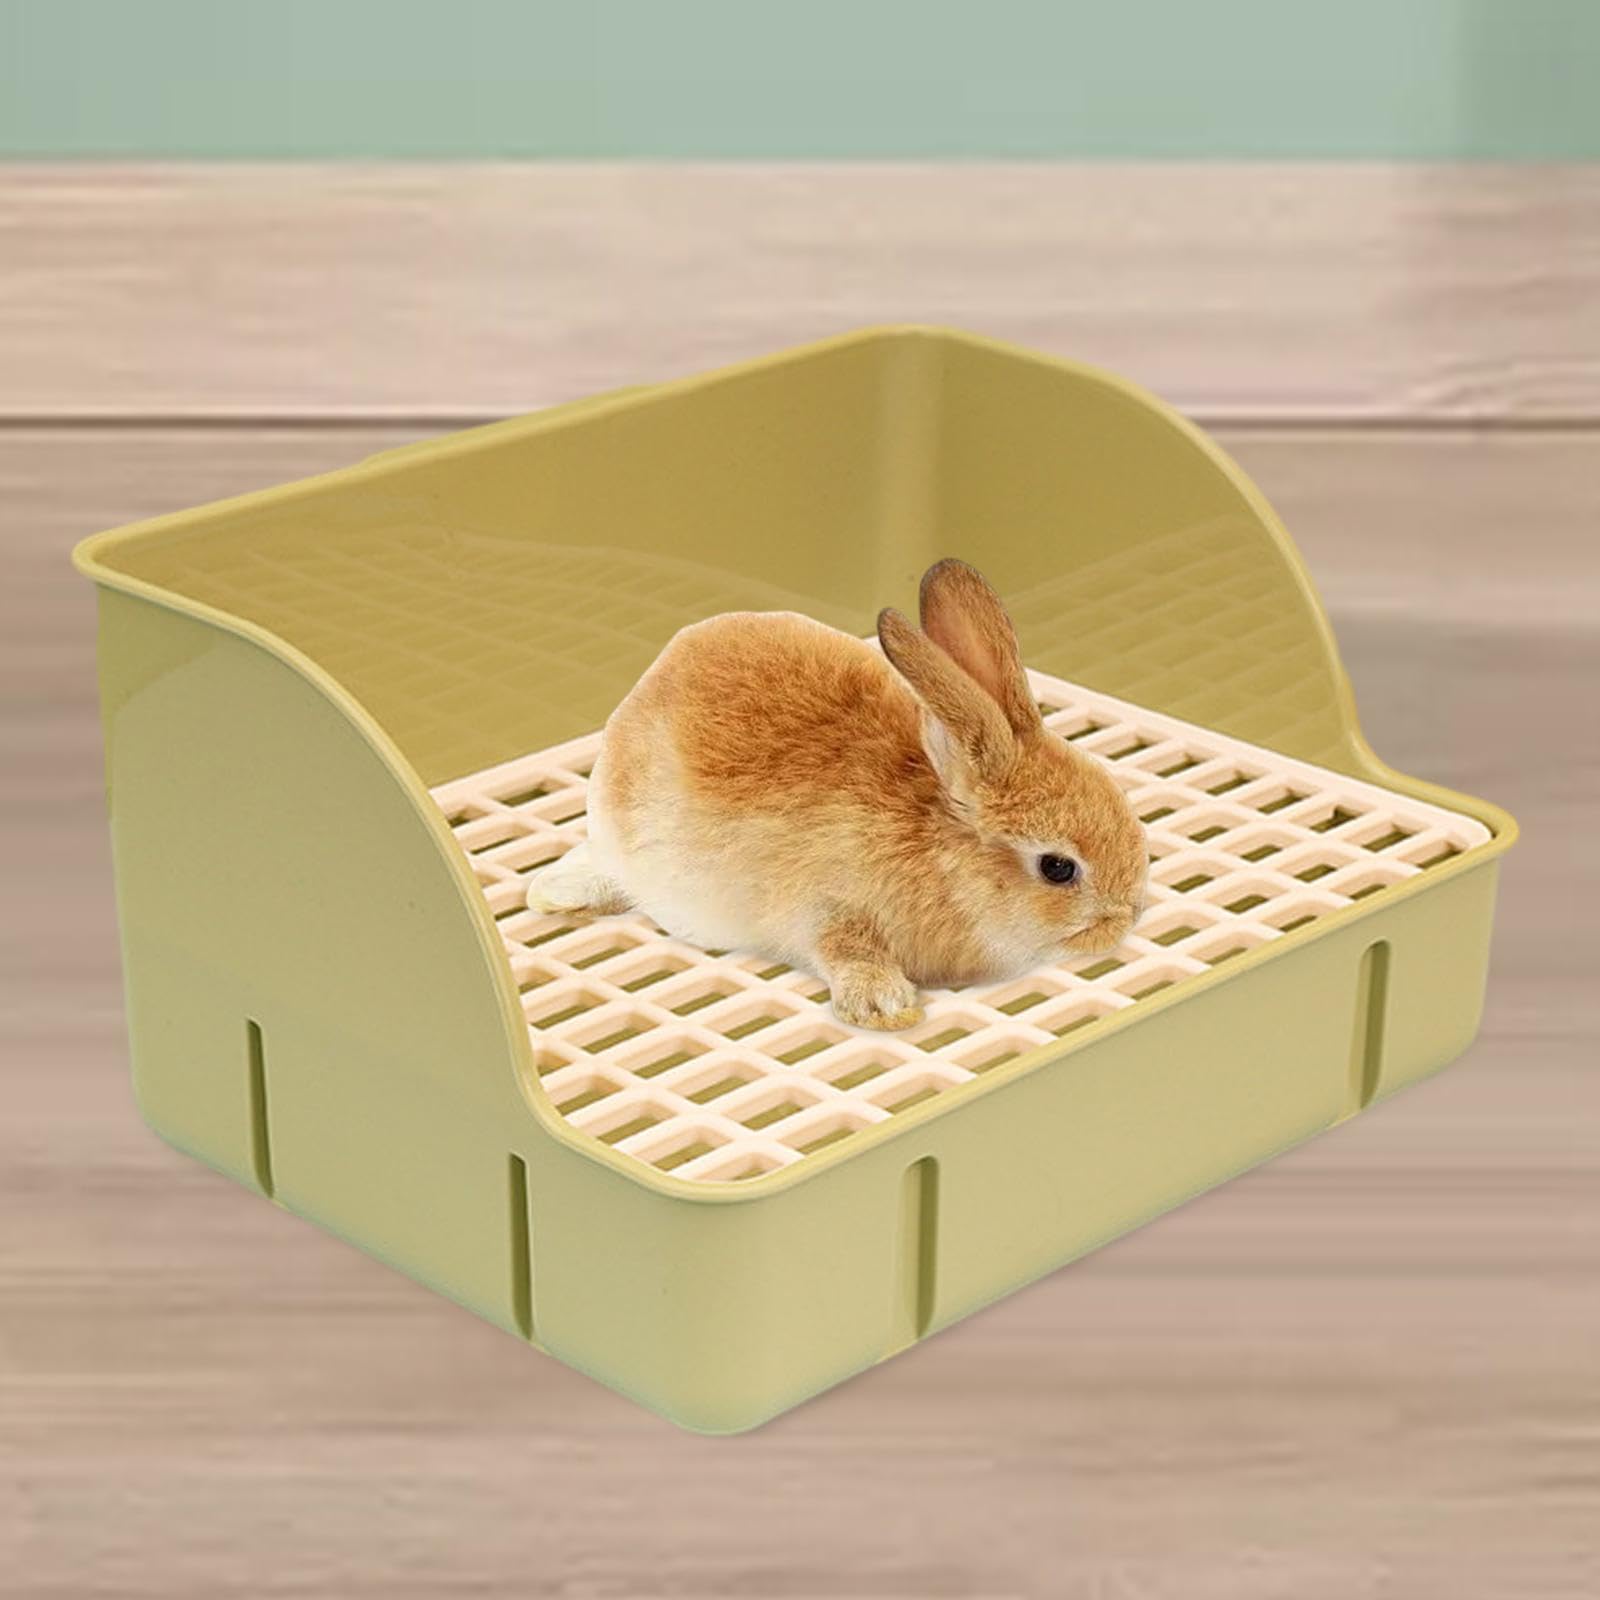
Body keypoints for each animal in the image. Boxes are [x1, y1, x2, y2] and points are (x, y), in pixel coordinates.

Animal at [527, 559, 1148, 1031]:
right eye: (1058, 868)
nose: (1125, 916)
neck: (940, 849)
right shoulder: (826, 908)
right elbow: (845, 948)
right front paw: (885, 1007)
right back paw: (555, 893)